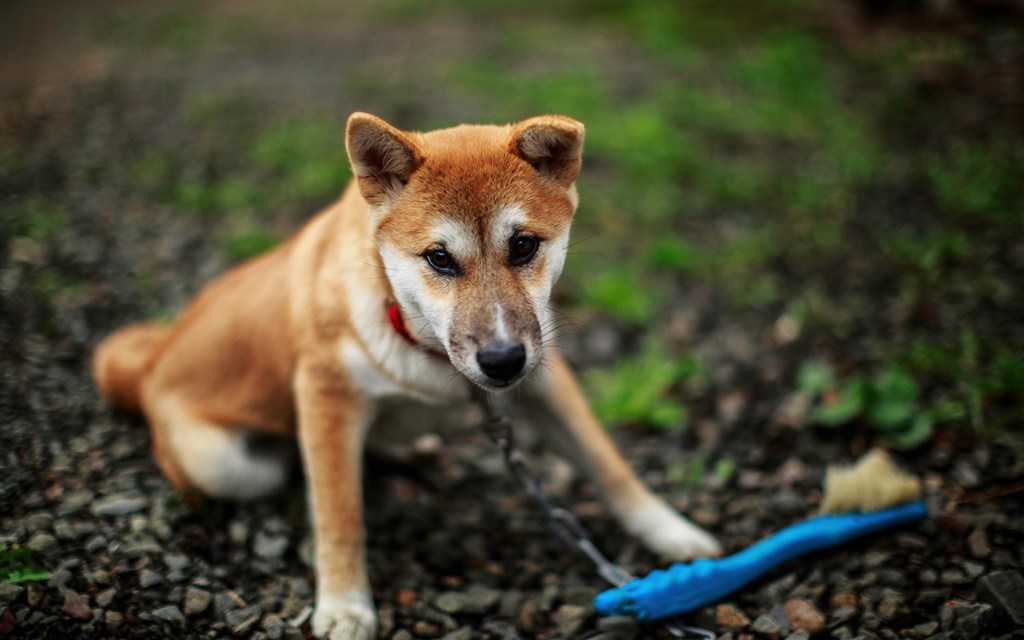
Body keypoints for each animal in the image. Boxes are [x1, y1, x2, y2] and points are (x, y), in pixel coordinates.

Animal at [94, 114, 720, 638]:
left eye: (523, 245)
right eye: (439, 257)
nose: (501, 362)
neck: (428, 352)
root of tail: (152, 363)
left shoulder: (545, 371)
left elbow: (609, 465)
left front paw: (672, 533)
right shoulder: (327, 395)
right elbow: (341, 515)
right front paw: (344, 606)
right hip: (225, 466)